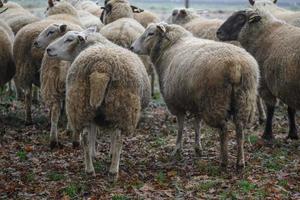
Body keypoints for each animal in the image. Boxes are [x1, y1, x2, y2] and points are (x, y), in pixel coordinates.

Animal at [45, 28, 150, 180]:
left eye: (69, 39)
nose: (48, 49)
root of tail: (101, 67)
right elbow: (110, 135)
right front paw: (110, 153)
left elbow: (93, 133)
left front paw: (94, 154)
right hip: (121, 106)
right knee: (119, 138)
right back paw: (113, 171)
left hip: (81, 103)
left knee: (85, 137)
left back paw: (89, 169)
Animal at [131, 23, 260, 170]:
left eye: (151, 33)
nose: (132, 47)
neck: (169, 46)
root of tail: (236, 67)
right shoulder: (196, 102)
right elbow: (197, 124)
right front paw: (198, 148)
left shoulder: (176, 103)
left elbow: (181, 126)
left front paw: (177, 149)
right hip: (244, 99)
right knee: (240, 129)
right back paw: (240, 162)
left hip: (215, 101)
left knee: (223, 129)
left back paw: (224, 161)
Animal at [217, 8, 300, 141]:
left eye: (240, 17)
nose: (218, 32)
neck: (264, 33)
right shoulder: (286, 84)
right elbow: (291, 109)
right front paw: (293, 134)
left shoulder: (267, 84)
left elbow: (270, 109)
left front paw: (267, 134)